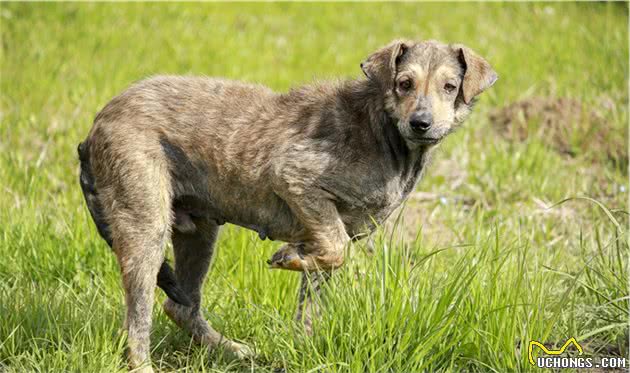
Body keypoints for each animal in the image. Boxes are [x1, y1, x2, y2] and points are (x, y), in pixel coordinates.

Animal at [76, 39, 498, 370]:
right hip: (146, 228)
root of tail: (95, 126)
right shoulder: (294, 177)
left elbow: (315, 293)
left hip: (200, 232)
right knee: (138, 322)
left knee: (181, 306)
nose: (421, 123)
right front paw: (287, 258)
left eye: (450, 86)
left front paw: (304, 346)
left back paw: (233, 351)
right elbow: (336, 249)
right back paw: (148, 363)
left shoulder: (324, 237)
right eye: (404, 83)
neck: (383, 130)